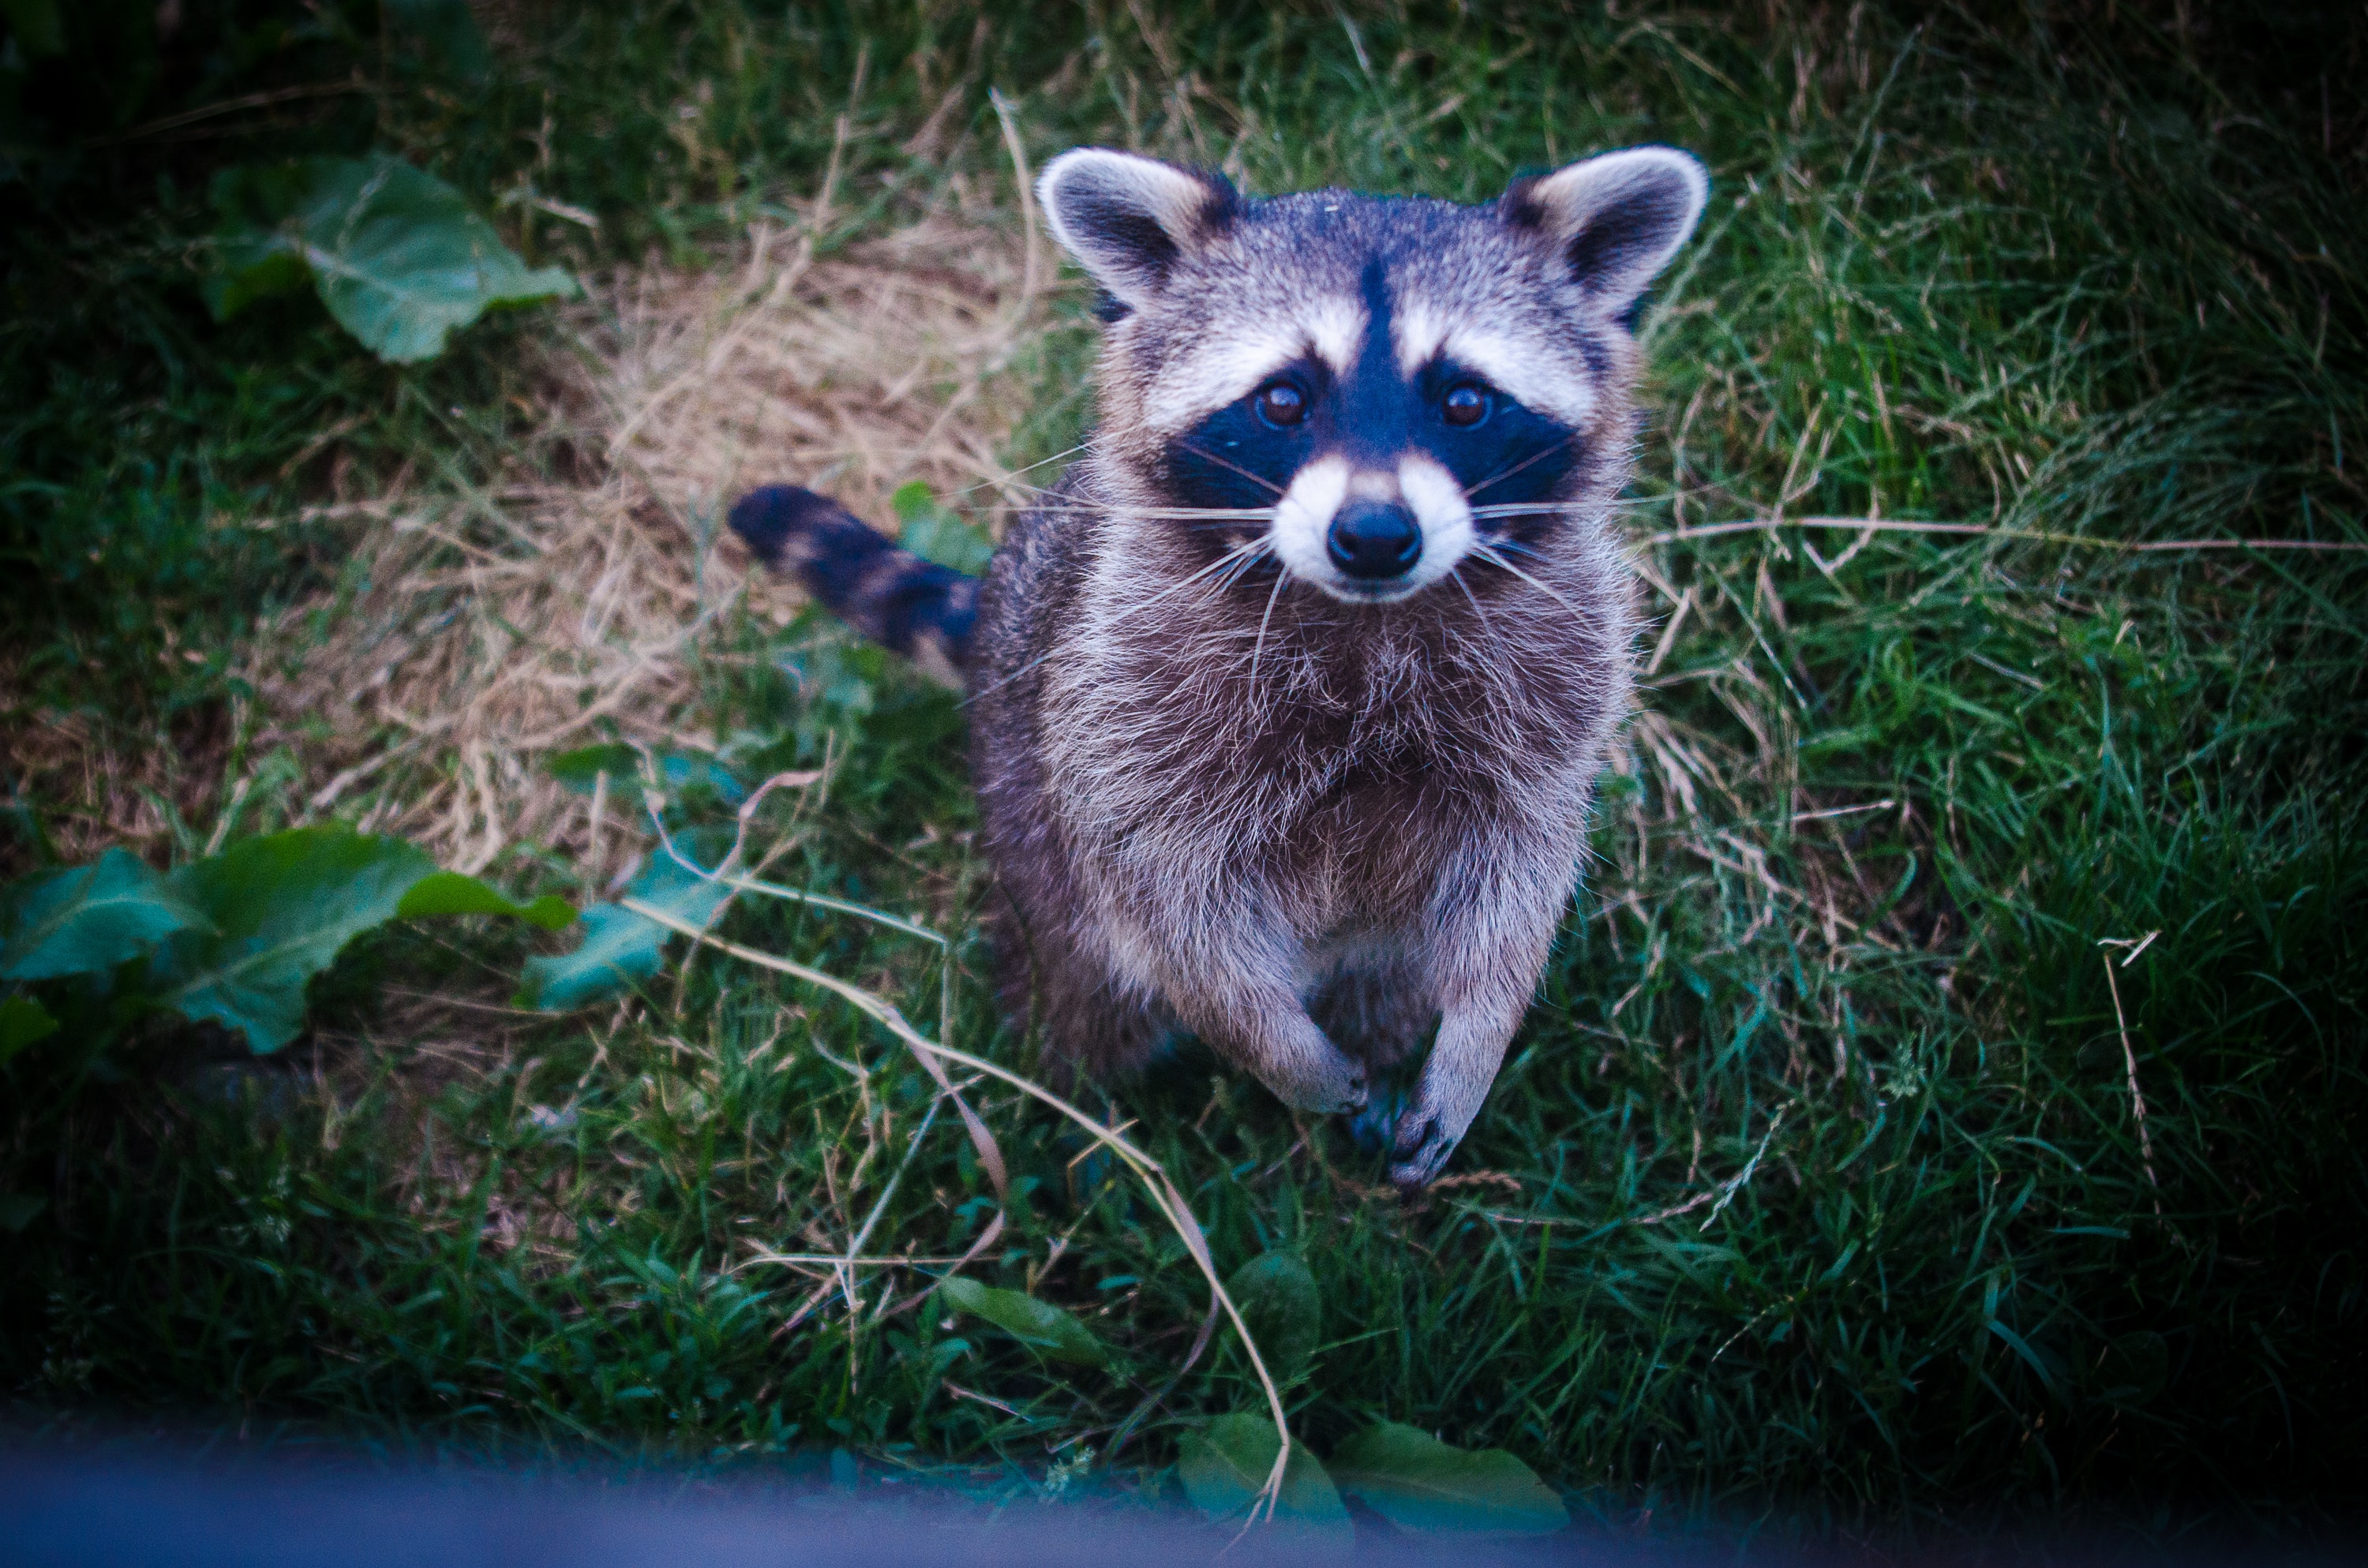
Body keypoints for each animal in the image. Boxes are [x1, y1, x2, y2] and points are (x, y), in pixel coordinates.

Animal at [729, 147, 1714, 1184]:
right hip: (1023, 800)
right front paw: (1271, 1044)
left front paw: (1479, 1033)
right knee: (1080, 989)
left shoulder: (1558, 682)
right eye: (1283, 399)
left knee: (1392, 977)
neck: (1363, 615)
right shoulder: (1122, 703)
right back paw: (1077, 1106)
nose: (1375, 536)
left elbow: (1524, 874)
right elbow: (1166, 904)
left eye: (1464, 400)